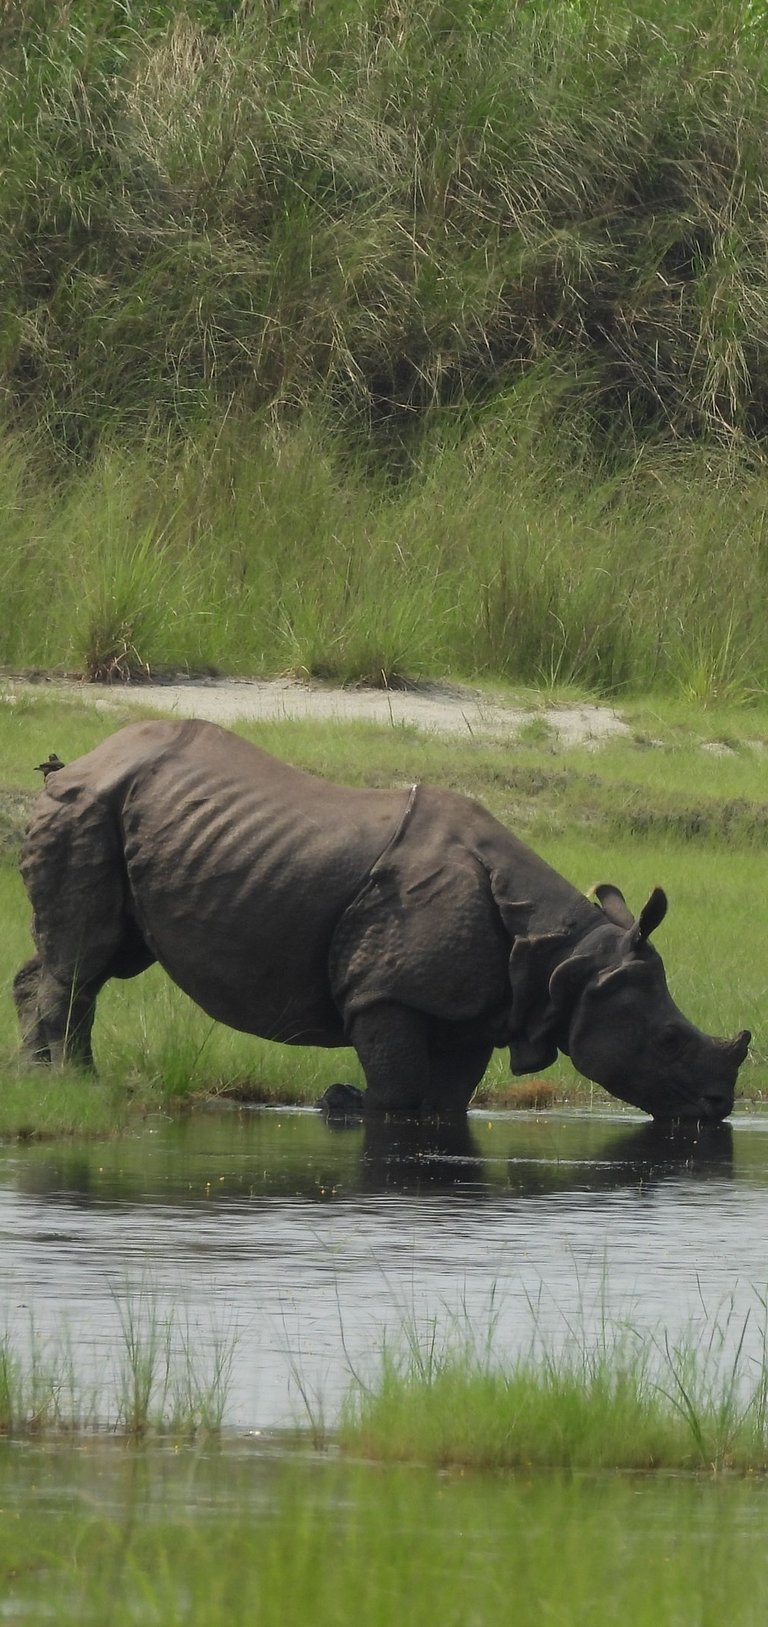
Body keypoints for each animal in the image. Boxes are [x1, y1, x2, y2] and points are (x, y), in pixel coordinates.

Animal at [13, 719, 750, 1120]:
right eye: (667, 1040)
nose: (720, 1108)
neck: (564, 956)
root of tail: (76, 763)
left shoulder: (477, 1007)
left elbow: (444, 1100)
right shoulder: (385, 990)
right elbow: (396, 1091)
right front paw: (340, 1101)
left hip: (120, 813)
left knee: (92, 957)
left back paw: (37, 1078)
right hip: (87, 807)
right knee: (85, 960)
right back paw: (73, 1085)